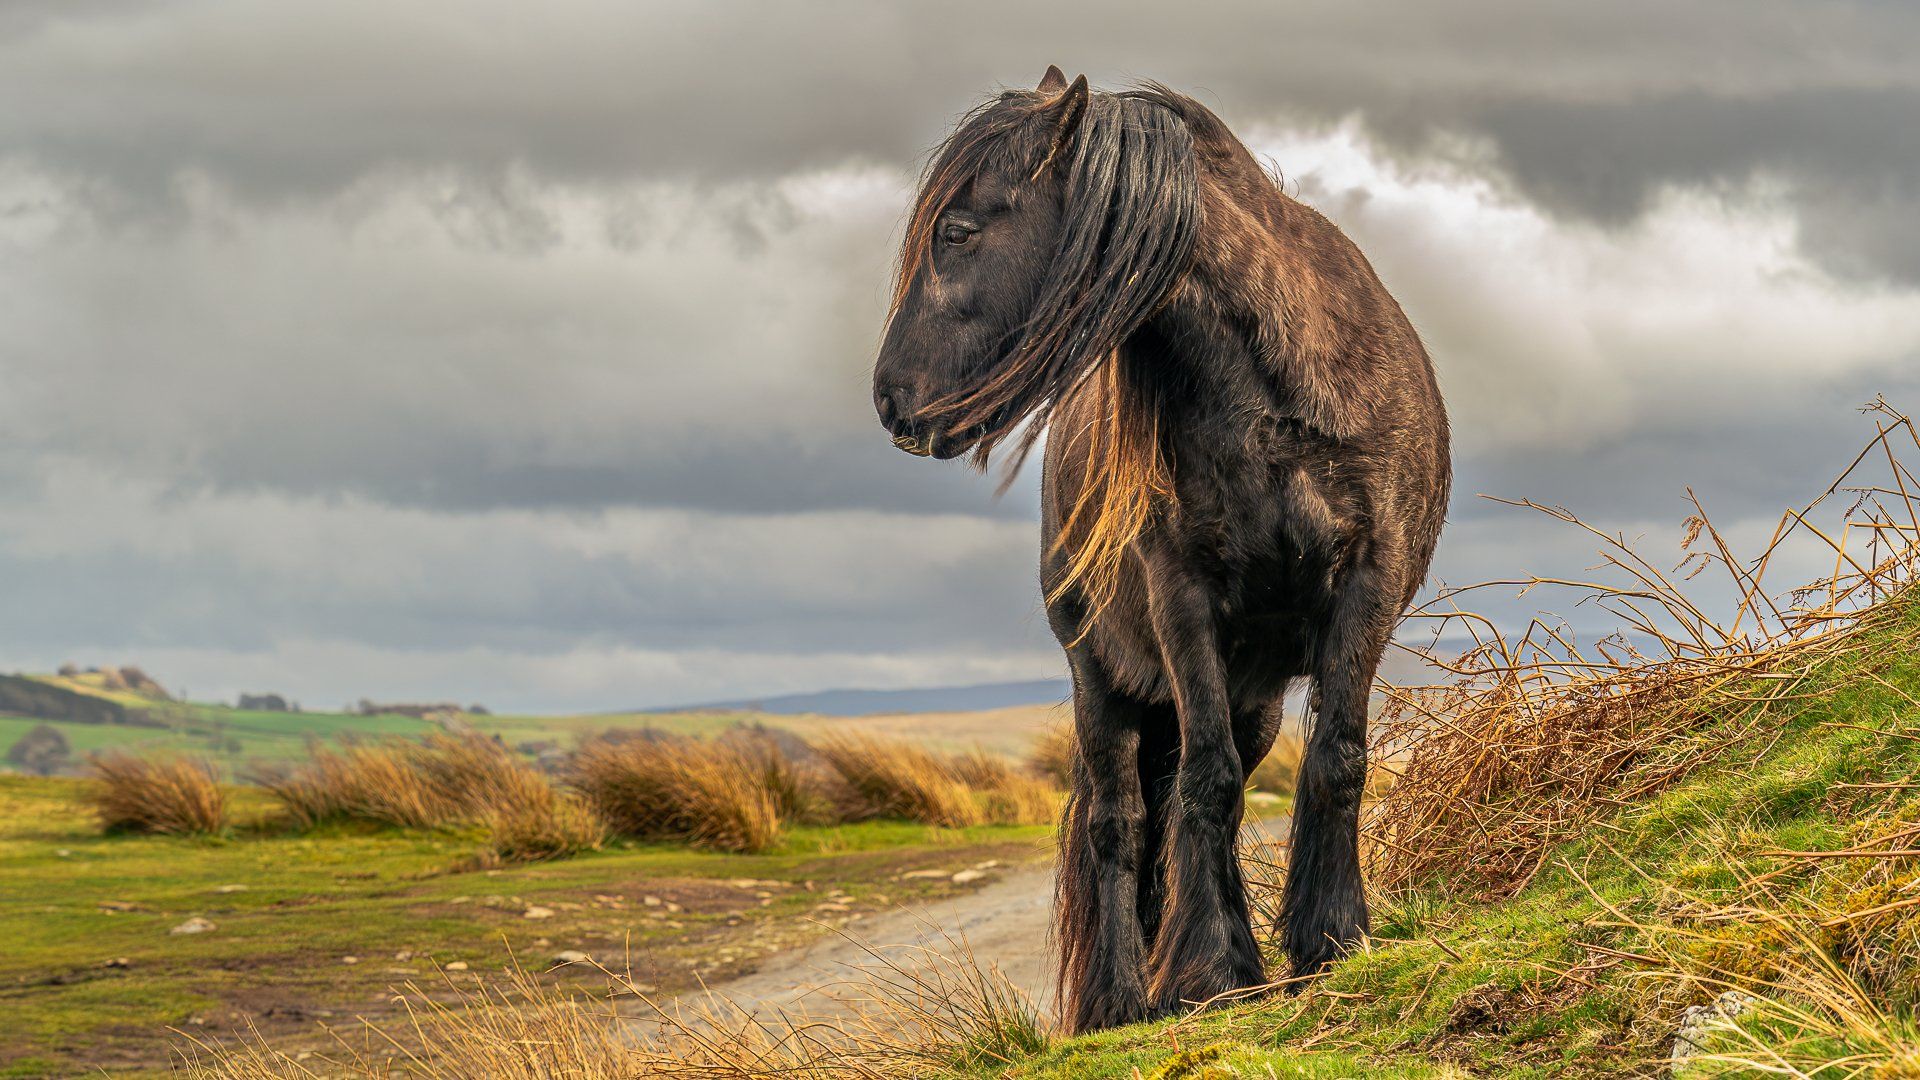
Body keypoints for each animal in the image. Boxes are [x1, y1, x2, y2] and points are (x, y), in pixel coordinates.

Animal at [870, 67, 1450, 1034]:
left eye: (957, 232)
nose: (889, 400)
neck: (1272, 398)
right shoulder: (1184, 597)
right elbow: (1205, 787)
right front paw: (1214, 971)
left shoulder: (1367, 583)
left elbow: (1335, 759)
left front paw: (1330, 940)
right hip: (1100, 680)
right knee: (1120, 821)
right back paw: (1117, 998)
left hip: (1251, 694)